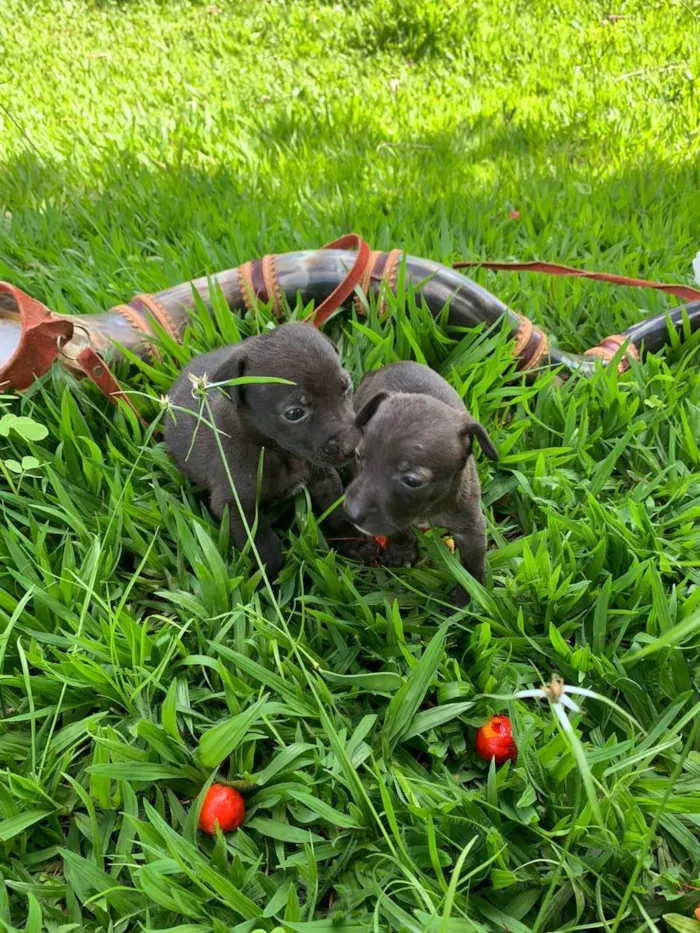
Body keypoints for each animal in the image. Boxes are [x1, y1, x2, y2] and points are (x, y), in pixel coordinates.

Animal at [165, 324, 360, 580]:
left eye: (346, 387)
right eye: (294, 413)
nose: (353, 446)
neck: (277, 451)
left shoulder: (324, 476)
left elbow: (337, 508)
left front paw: (356, 541)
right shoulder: (235, 507)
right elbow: (263, 545)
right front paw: (270, 582)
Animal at [344, 360, 498, 592]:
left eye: (412, 481)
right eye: (359, 456)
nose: (351, 513)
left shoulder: (471, 525)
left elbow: (473, 563)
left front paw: (470, 593)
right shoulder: (394, 517)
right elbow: (399, 530)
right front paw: (402, 552)